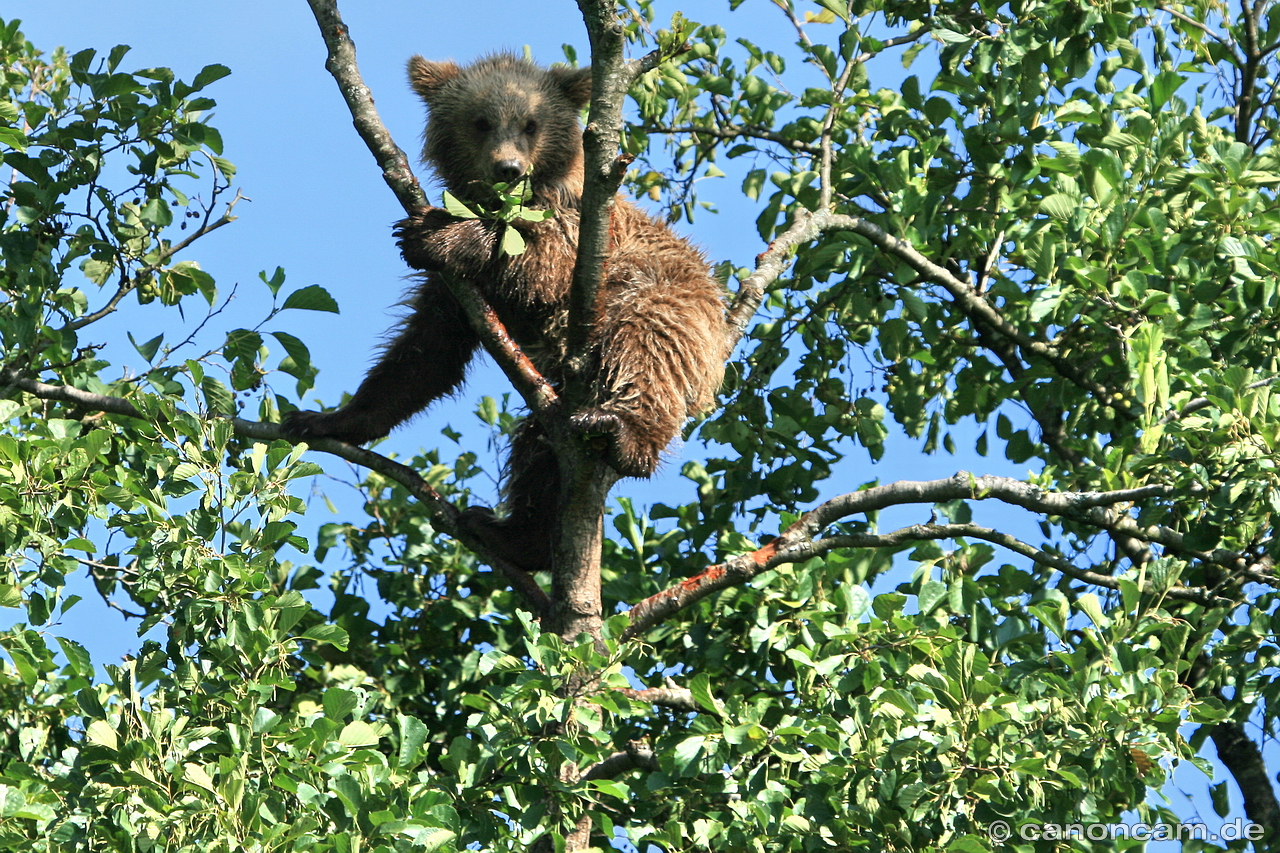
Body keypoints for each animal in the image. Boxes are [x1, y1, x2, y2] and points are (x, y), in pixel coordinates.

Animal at [288, 53, 732, 571]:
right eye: (480, 122)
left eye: (531, 123)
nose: (509, 168)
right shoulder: (455, 296)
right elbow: (424, 357)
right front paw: (327, 419)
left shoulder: (580, 229)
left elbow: (542, 263)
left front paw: (437, 233)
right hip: (563, 406)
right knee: (538, 451)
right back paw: (514, 534)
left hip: (669, 301)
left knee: (648, 345)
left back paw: (625, 434)